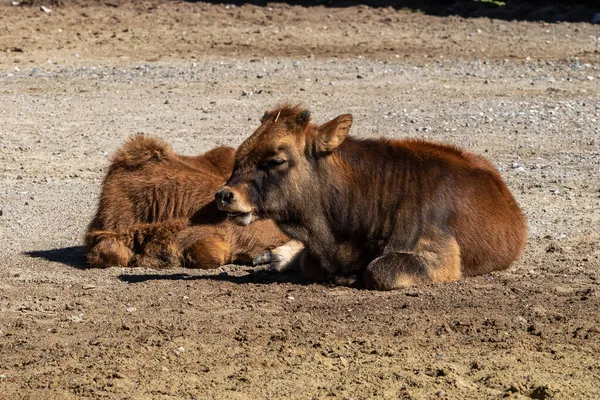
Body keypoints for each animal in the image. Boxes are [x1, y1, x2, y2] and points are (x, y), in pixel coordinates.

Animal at [214, 104, 524, 290]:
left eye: (276, 160)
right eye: (239, 155)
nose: (225, 195)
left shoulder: (441, 259)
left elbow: (377, 270)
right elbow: (309, 262)